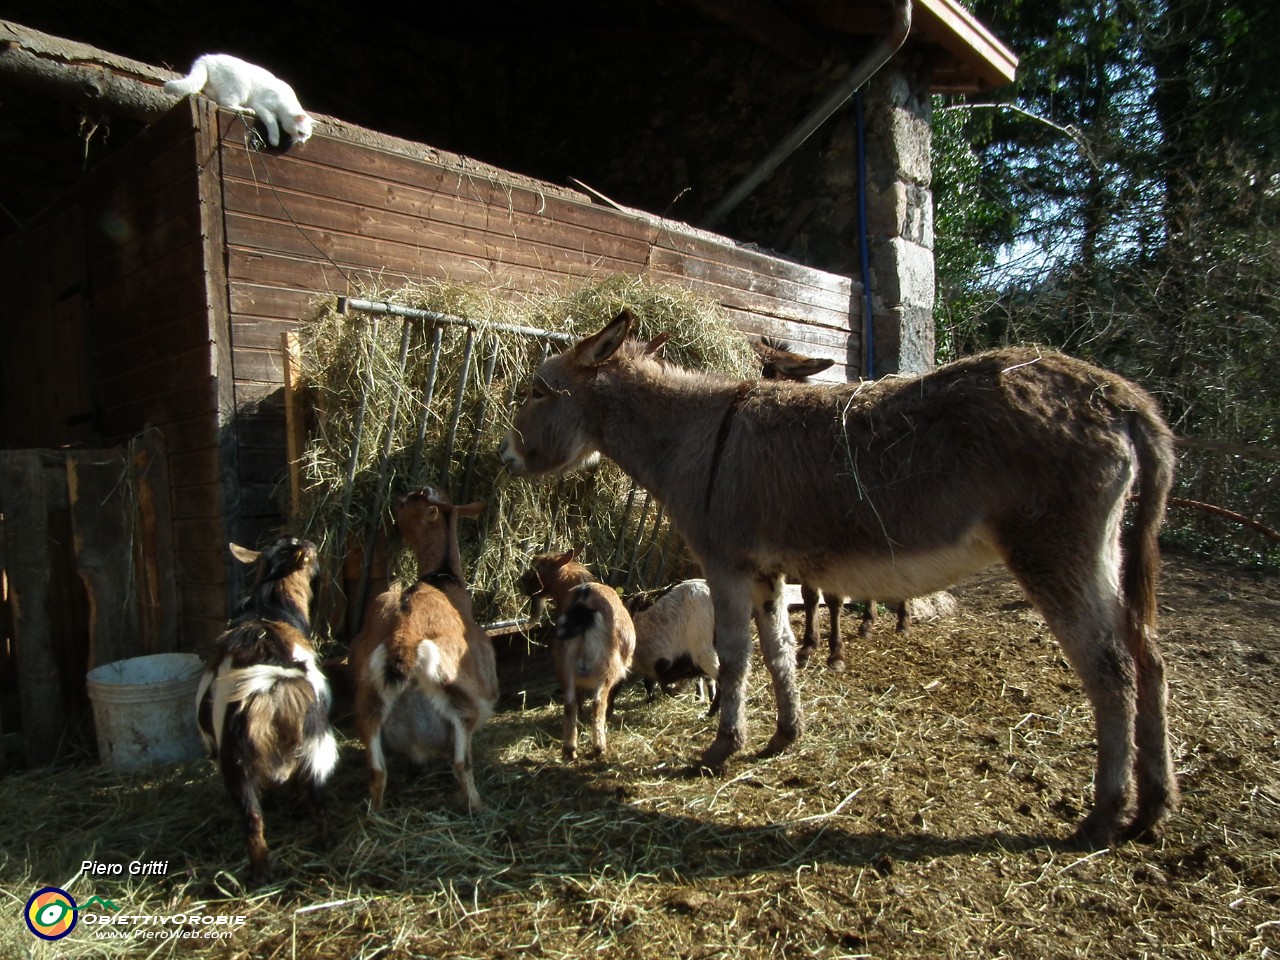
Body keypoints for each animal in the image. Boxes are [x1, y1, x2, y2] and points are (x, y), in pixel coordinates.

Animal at [165, 53, 314, 146]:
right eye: (301, 133)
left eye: (307, 135)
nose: (302, 142)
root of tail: (207, 58)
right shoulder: (263, 106)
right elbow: (273, 124)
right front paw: (274, 140)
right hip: (240, 88)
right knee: (227, 103)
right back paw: (247, 110)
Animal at [193, 537, 335, 885]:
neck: (268, 607)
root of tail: (273, 684)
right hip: (313, 748)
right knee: (315, 799)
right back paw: (321, 844)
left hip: (236, 765)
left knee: (253, 819)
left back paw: (261, 873)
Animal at [350, 488, 499, 814]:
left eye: (412, 498)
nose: (394, 501)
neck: (442, 580)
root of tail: (404, 643)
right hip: (463, 708)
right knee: (460, 763)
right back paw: (478, 805)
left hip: (368, 708)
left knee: (377, 772)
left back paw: (375, 815)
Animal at [519, 552, 634, 762]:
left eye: (538, 567)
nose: (522, 582)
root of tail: (583, 605)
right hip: (607, 668)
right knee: (598, 702)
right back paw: (598, 748)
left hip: (564, 664)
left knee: (570, 704)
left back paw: (569, 749)